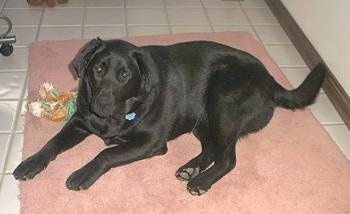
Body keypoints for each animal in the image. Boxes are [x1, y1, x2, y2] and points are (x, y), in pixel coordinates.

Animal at [13, 38, 326, 196]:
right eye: (98, 69)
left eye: (124, 75)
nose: (101, 102)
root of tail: (271, 80)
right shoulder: (81, 120)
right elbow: (53, 143)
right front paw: (31, 162)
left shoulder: (151, 143)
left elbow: (106, 154)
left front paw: (83, 173)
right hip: (201, 117)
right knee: (211, 149)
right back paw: (191, 168)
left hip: (221, 102)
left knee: (228, 158)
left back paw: (201, 181)